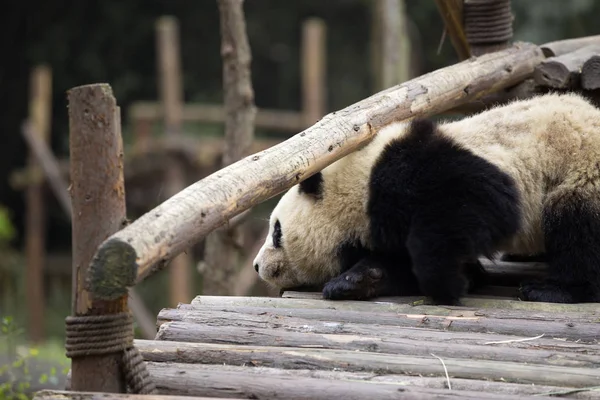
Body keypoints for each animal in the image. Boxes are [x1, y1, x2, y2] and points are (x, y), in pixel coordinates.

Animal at [251, 92, 600, 304]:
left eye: (277, 232)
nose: (257, 266)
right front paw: (359, 280)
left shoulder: (416, 172)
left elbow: (477, 204)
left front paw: (448, 282)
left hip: (582, 171)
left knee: (578, 226)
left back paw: (553, 289)